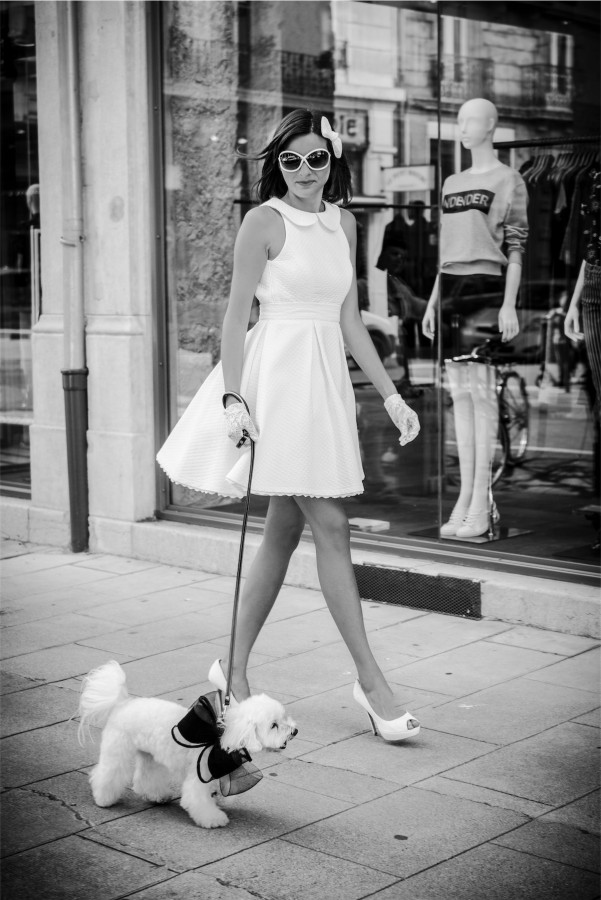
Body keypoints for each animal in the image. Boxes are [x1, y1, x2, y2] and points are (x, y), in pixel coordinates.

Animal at [77, 660, 298, 828]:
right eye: (274, 725)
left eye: (284, 718)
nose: (294, 731)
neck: (223, 734)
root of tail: (122, 704)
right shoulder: (200, 774)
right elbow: (198, 799)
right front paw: (213, 819)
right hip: (117, 749)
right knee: (107, 773)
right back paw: (103, 799)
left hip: (149, 755)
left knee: (146, 776)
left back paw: (156, 795)